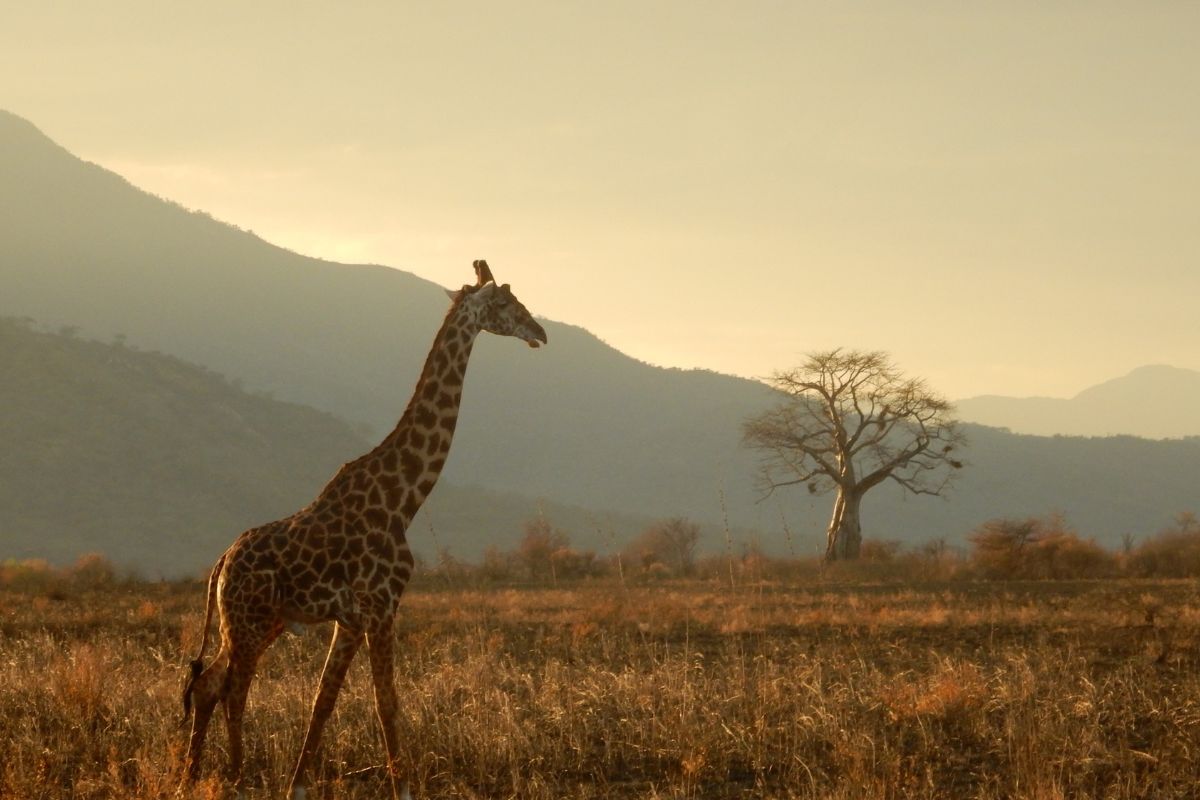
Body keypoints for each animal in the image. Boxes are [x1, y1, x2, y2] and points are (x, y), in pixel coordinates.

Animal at [176, 260, 544, 796]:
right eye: (505, 303)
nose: (540, 332)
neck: (404, 499)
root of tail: (221, 562)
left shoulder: (349, 618)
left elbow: (323, 701)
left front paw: (297, 785)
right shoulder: (381, 605)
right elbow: (386, 702)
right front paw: (404, 788)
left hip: (254, 623)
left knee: (208, 684)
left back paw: (190, 777)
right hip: (249, 621)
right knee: (233, 689)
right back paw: (236, 778)